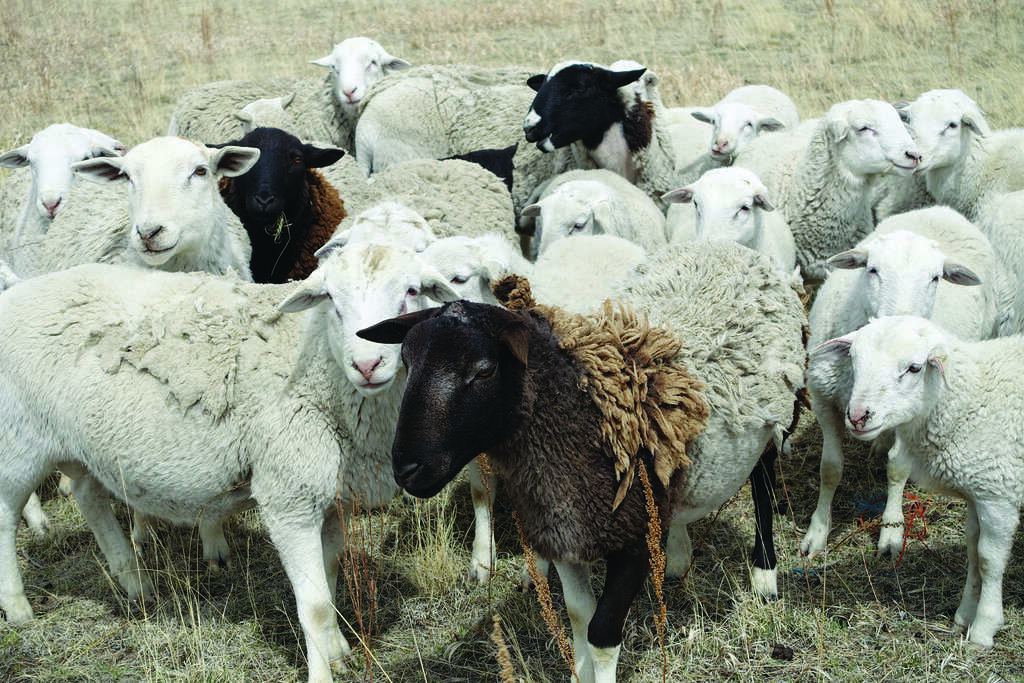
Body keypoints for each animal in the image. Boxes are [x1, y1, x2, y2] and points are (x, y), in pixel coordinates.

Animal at [0, 239, 459, 682]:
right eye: (330, 298)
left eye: (411, 291)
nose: (367, 364)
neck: (319, 368)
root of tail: (18, 292)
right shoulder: (289, 497)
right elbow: (314, 605)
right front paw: (323, 668)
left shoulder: (329, 498)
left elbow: (329, 581)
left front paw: (337, 651)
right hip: (19, 441)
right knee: (5, 516)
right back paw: (18, 607)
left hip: (84, 442)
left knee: (88, 495)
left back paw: (134, 581)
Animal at [360, 240, 806, 682]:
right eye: (407, 362)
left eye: (484, 371)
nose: (407, 469)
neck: (586, 417)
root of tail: (726, 246)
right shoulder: (565, 535)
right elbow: (578, 617)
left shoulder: (634, 539)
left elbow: (602, 634)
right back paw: (679, 556)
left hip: (775, 421)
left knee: (764, 485)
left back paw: (764, 576)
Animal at [801, 206, 1010, 560]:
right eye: (872, 269)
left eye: (936, 277)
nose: (901, 320)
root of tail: (939, 210)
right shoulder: (822, 397)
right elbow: (830, 468)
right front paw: (817, 533)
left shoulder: (911, 411)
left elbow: (897, 468)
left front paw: (891, 531)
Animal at [815, 315, 1024, 648]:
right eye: (854, 362)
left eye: (914, 368)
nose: (858, 416)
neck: (971, 397)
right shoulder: (977, 495)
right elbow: (972, 551)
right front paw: (964, 615)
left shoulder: (998, 493)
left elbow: (988, 560)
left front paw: (983, 628)